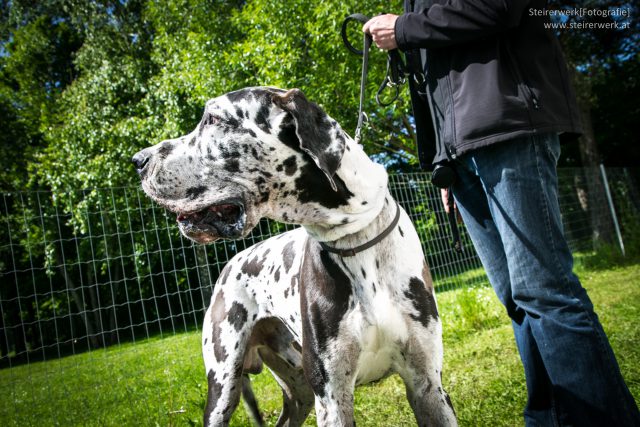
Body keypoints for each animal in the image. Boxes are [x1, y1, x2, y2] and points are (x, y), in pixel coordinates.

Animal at [132, 88, 458, 427]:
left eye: (214, 119)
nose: (138, 160)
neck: (355, 236)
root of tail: (229, 264)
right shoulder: (332, 399)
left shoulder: (428, 386)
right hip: (223, 389)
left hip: (299, 390)